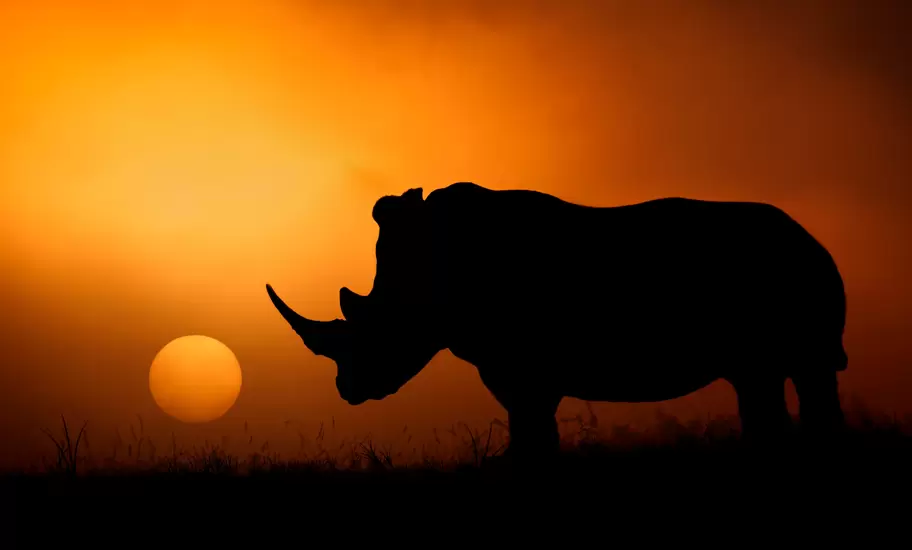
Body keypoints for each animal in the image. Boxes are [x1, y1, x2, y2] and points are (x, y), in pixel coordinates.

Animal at [266, 182, 848, 458]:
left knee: (799, 372)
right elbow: (531, 428)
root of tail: (812, 238)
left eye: (375, 329)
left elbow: (531, 428)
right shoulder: (515, 367)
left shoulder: (522, 366)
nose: (347, 390)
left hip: (793, 273)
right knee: (764, 379)